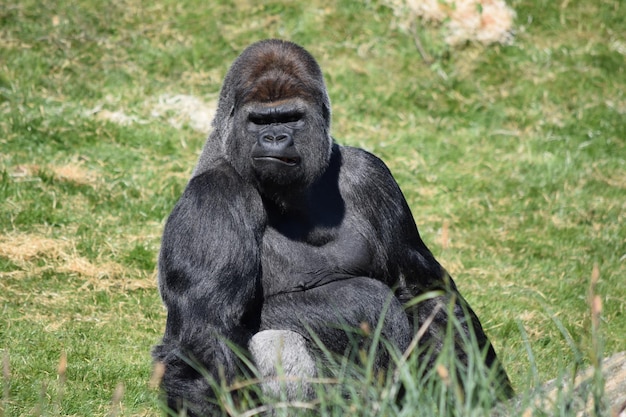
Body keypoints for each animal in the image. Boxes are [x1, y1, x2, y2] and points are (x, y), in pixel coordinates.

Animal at [152, 38, 512, 412]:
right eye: (260, 121)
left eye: (291, 118)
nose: (275, 138)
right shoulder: (212, 200)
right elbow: (205, 336)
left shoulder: (372, 175)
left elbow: (422, 291)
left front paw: (484, 389)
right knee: (276, 343)